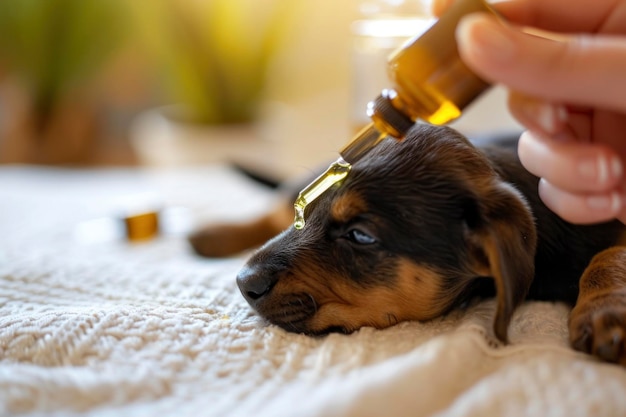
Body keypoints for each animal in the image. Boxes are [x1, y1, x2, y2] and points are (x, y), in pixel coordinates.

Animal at [189, 123, 624, 364]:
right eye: (308, 211)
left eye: (360, 236)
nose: (244, 281)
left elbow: (608, 256)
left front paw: (605, 313)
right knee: (274, 206)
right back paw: (212, 234)